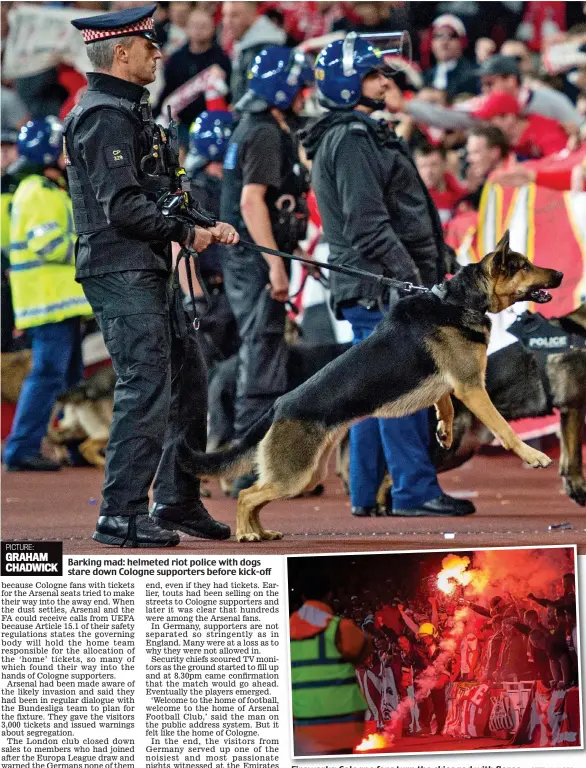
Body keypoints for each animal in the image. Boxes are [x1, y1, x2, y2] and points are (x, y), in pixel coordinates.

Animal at [190, 231, 560, 544]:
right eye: (524, 266)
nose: (559, 274)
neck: (460, 301)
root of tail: (279, 405)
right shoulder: (471, 387)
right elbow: (504, 428)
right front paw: (533, 456)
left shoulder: (452, 383)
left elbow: (445, 404)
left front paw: (444, 429)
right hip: (294, 475)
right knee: (246, 495)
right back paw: (246, 533)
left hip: (306, 474)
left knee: (257, 495)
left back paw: (260, 531)